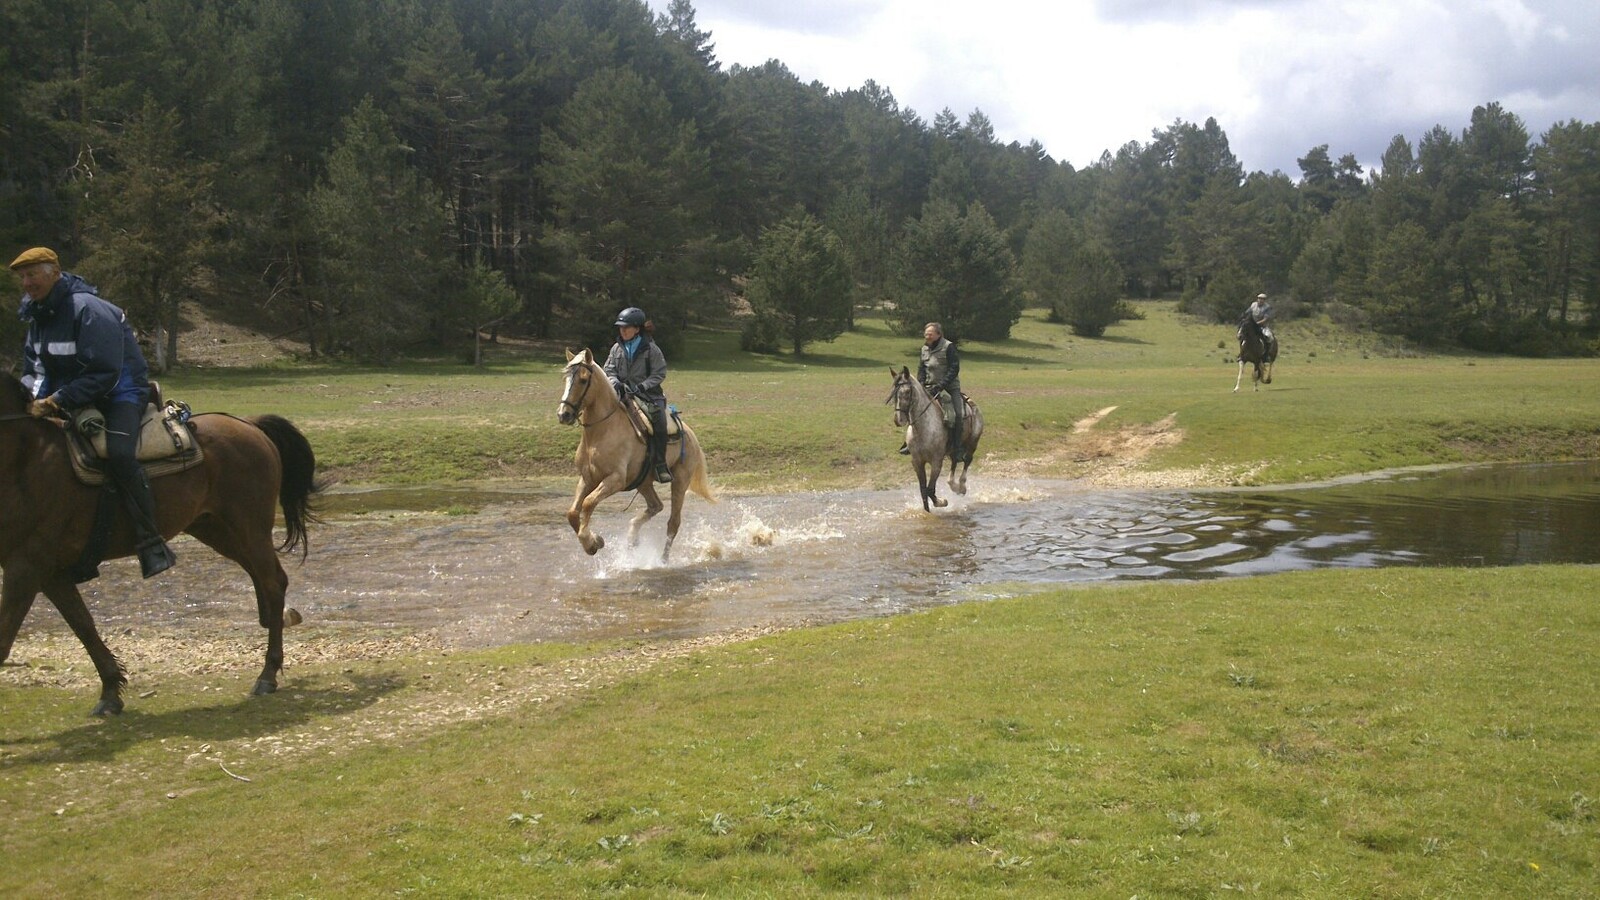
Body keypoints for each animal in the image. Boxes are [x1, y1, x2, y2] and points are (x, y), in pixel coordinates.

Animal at [0, 368, 321, 711]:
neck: (26, 460)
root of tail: (249, 425)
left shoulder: (25, 568)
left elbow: (6, 641)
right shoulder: (49, 572)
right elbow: (83, 624)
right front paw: (111, 690)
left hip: (248, 528)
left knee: (272, 582)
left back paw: (267, 674)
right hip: (216, 529)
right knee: (262, 577)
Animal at [560, 344, 716, 560]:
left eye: (583, 379)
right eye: (565, 378)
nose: (563, 414)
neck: (602, 431)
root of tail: (691, 435)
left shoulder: (615, 479)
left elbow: (588, 503)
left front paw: (592, 542)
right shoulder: (588, 478)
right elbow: (573, 513)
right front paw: (594, 542)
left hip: (680, 481)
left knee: (673, 523)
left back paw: (662, 560)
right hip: (643, 482)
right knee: (656, 505)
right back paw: (633, 537)